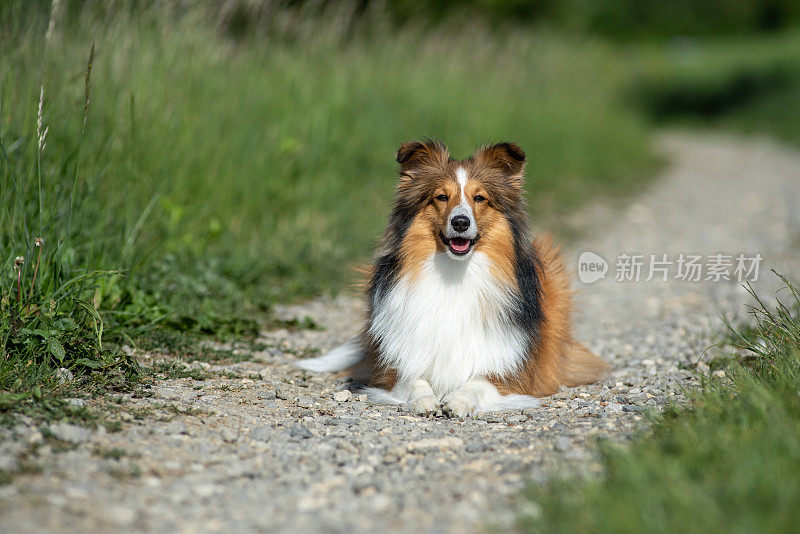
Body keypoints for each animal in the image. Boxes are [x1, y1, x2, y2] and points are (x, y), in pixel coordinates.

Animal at [298, 140, 608, 416]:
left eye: (479, 198)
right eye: (441, 197)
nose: (460, 222)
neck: (455, 273)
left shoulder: (514, 374)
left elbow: (477, 382)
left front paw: (458, 402)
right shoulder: (392, 368)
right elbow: (413, 379)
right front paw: (425, 400)